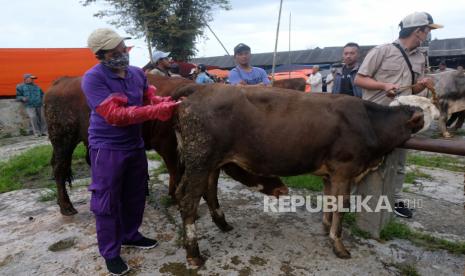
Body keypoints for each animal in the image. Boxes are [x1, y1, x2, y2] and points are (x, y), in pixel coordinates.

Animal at [42, 75, 286, 216]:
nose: (281, 188)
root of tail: (61, 81)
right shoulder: (169, 147)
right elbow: (177, 172)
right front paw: (179, 200)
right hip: (63, 138)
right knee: (59, 168)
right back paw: (66, 206)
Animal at [171, 85, 424, 266]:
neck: (370, 122)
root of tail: (198, 91)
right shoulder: (344, 169)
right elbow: (341, 205)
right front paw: (338, 245)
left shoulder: (329, 174)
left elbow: (329, 201)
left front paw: (325, 228)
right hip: (200, 160)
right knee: (188, 201)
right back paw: (194, 254)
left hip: (210, 163)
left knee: (205, 191)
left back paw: (222, 224)